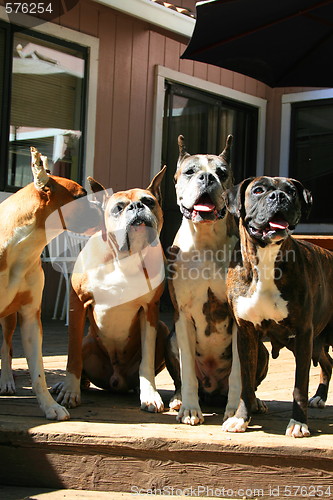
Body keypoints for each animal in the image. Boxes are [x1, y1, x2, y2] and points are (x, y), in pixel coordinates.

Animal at [0, 146, 100, 420]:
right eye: (81, 195)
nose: (104, 205)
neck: (20, 247)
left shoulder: (30, 317)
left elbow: (38, 372)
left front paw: (49, 406)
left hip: (9, 317)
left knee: (6, 348)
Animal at [53, 168, 169, 414]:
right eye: (118, 207)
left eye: (149, 201)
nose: (137, 207)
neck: (125, 257)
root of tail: (115, 380)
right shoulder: (77, 303)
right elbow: (72, 356)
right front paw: (70, 391)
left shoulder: (150, 310)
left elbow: (146, 360)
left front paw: (150, 395)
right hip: (88, 342)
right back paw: (66, 385)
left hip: (163, 328)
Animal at [222, 177, 333, 438]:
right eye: (258, 190)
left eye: (292, 191)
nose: (280, 196)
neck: (265, 257)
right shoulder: (247, 333)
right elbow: (246, 381)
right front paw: (241, 418)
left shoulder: (303, 334)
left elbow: (299, 385)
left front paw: (299, 423)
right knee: (328, 363)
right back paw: (320, 397)